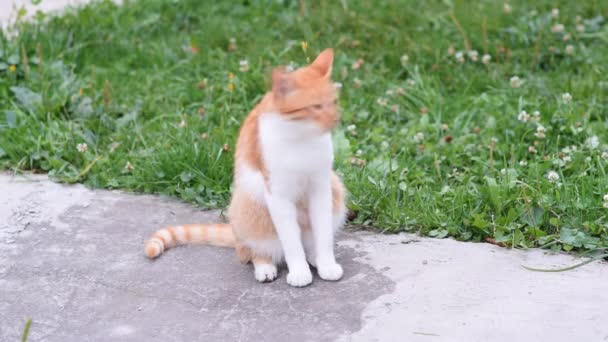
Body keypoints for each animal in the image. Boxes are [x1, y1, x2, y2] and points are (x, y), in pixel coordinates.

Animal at [143, 48, 350, 288]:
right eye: (316, 106)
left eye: (334, 102)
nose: (335, 119)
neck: (303, 139)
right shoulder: (277, 195)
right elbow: (290, 241)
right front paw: (299, 272)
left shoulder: (321, 188)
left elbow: (323, 235)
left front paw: (326, 264)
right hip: (249, 200)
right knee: (252, 250)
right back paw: (265, 266)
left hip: (335, 187)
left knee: (308, 241)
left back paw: (313, 257)